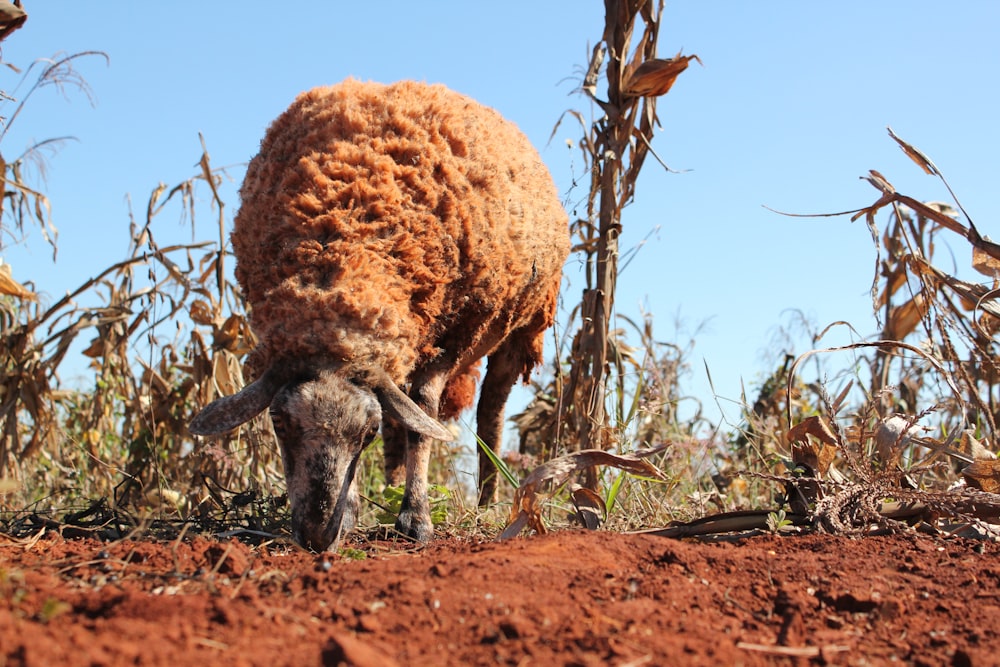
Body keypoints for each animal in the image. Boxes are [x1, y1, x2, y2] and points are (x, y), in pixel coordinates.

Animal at [189, 78, 572, 552]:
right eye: (278, 422)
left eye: (363, 433)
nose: (316, 536)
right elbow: (401, 416)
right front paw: (363, 510)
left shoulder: (452, 335)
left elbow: (422, 415)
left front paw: (416, 517)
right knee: (401, 412)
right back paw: (391, 490)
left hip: (522, 324)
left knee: (491, 412)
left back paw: (488, 500)